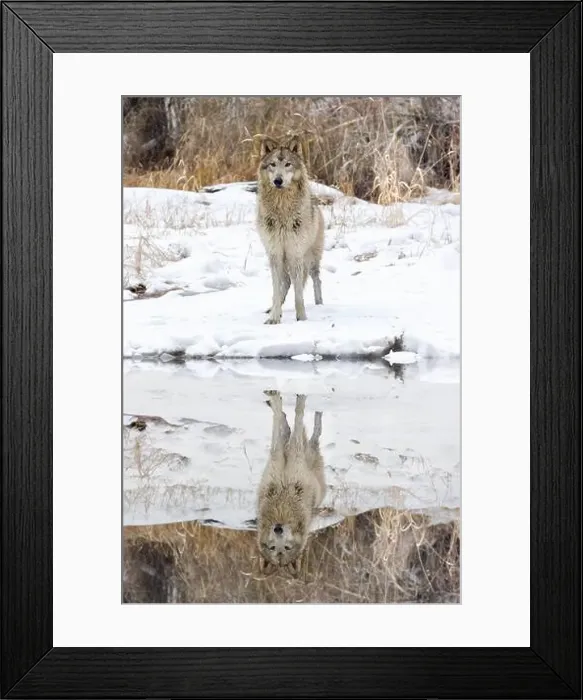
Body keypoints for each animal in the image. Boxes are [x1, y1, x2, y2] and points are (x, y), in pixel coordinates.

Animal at [256, 135, 325, 324]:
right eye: (272, 164)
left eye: (288, 164)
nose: (278, 181)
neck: (282, 211)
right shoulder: (275, 253)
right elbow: (276, 290)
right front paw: (274, 317)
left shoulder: (296, 253)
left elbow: (299, 293)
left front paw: (301, 317)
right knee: (285, 283)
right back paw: (275, 309)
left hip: (312, 258)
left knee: (316, 280)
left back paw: (320, 305)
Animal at [256, 391, 325, 576]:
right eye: (273, 548)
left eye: (286, 548)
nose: (278, 529)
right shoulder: (279, 455)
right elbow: (288, 421)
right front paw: (276, 400)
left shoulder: (293, 454)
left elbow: (297, 415)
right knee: (295, 433)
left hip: (308, 455)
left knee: (305, 435)